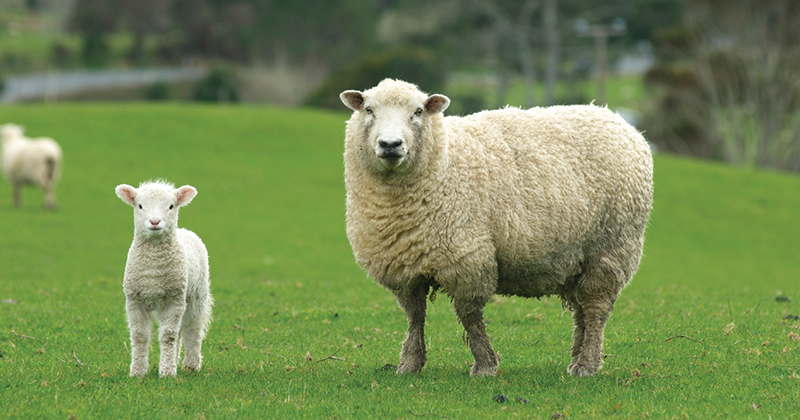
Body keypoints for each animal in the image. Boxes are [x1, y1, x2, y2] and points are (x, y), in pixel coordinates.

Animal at [115, 180, 212, 378]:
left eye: (171, 206)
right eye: (140, 205)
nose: (154, 222)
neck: (154, 270)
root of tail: (185, 230)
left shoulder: (175, 298)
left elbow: (168, 336)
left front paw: (167, 372)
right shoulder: (134, 299)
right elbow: (140, 336)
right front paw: (138, 372)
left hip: (196, 295)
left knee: (192, 329)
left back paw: (191, 365)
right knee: (180, 332)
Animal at [340, 79, 652, 378]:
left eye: (417, 112)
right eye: (368, 109)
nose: (390, 144)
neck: (444, 162)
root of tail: (616, 118)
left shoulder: (468, 259)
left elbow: (469, 316)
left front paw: (484, 366)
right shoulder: (404, 267)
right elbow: (415, 316)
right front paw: (409, 364)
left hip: (612, 246)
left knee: (596, 307)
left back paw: (587, 364)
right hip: (578, 258)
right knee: (581, 311)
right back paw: (577, 358)